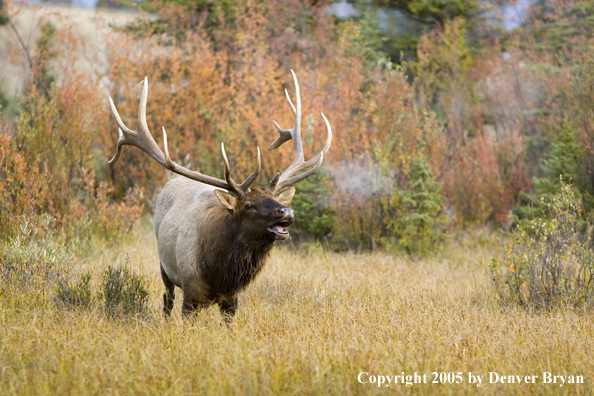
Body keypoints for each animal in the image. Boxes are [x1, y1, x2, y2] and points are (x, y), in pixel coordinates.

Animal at [108, 70, 330, 318]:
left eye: (274, 199)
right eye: (248, 205)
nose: (287, 211)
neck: (220, 274)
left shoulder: (232, 299)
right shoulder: (190, 293)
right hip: (164, 264)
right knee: (167, 298)